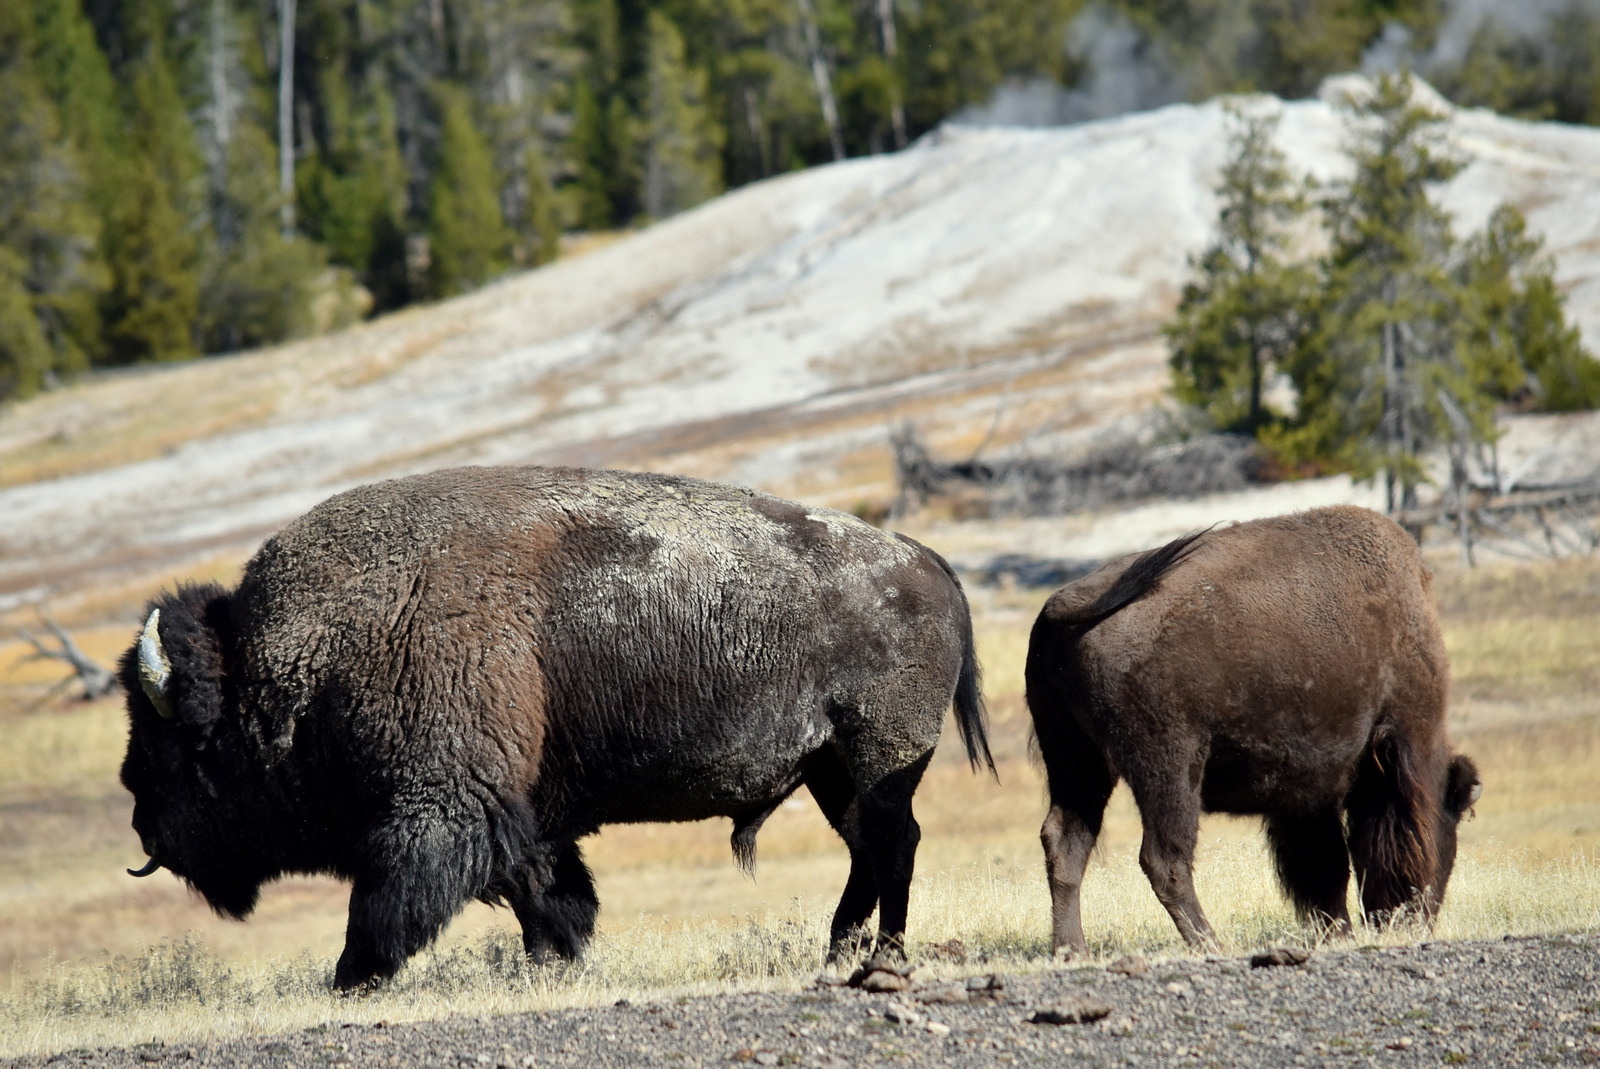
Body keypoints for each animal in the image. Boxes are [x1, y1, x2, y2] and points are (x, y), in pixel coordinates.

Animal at [118, 467, 985, 985]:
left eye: (168, 749)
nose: (138, 815)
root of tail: (924, 559)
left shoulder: (438, 811)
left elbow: (391, 901)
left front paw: (351, 977)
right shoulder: (516, 812)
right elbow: (547, 888)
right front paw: (554, 961)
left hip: (875, 757)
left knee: (892, 845)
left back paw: (880, 957)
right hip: (829, 769)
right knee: (868, 851)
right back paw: (837, 949)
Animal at [1030, 505, 1478, 953]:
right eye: (1449, 831)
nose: (1416, 922)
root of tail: (1069, 603)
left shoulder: (1302, 795)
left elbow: (1322, 867)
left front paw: (1338, 933)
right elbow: (1328, 866)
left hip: (1076, 762)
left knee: (1066, 844)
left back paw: (1071, 949)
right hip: (1168, 766)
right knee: (1164, 859)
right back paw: (1210, 944)